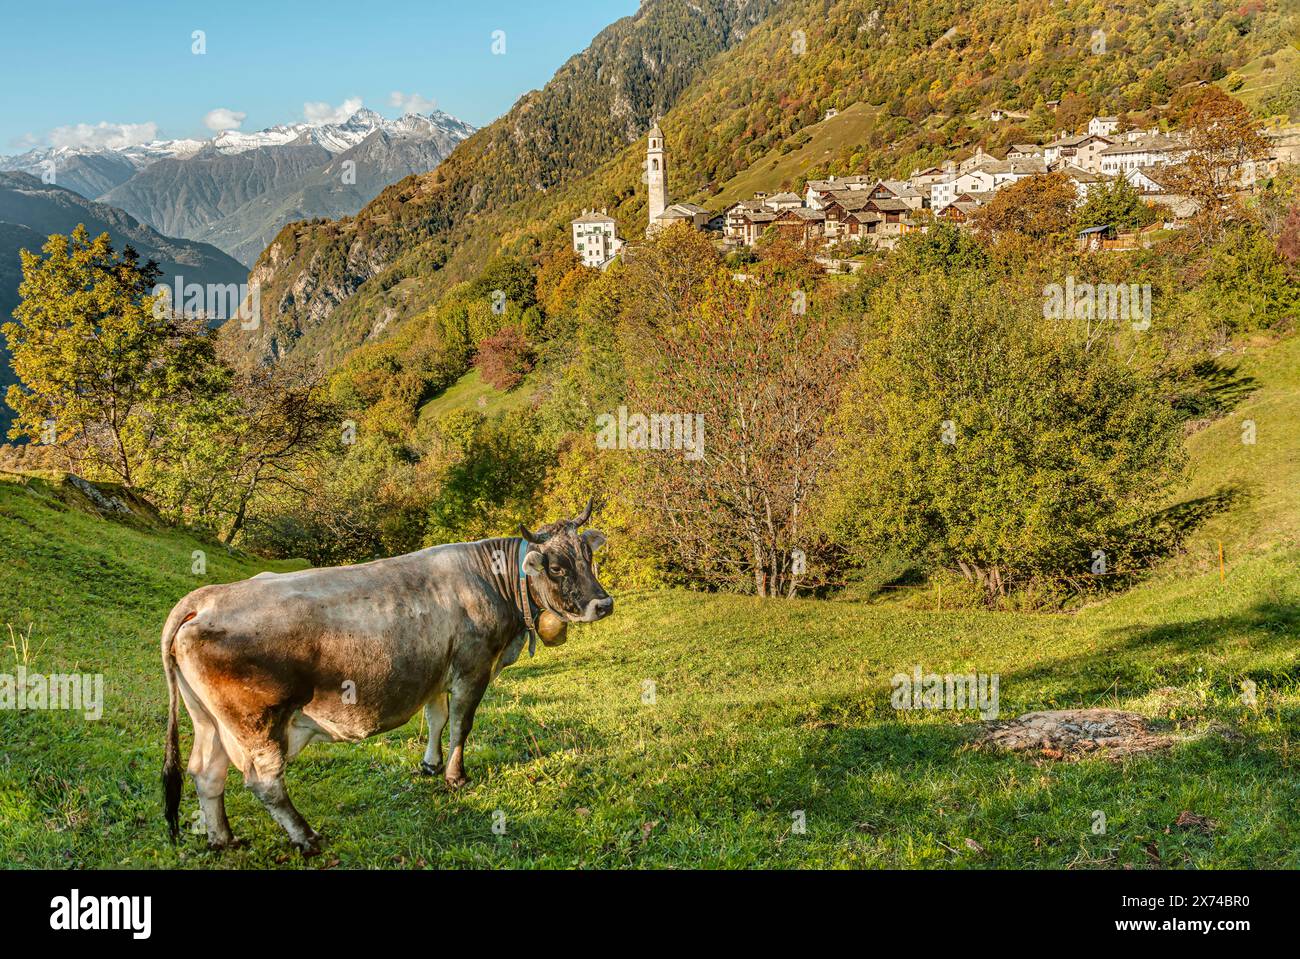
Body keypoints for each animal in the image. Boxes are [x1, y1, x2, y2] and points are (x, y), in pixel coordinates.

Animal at [161, 501, 608, 852]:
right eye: (555, 567)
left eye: (589, 557)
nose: (603, 604)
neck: (492, 581)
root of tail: (205, 598)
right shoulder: (473, 668)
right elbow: (460, 725)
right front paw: (455, 777)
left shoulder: (435, 672)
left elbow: (436, 719)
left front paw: (430, 765)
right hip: (256, 724)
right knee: (265, 783)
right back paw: (307, 837)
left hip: (209, 720)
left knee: (206, 773)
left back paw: (224, 839)